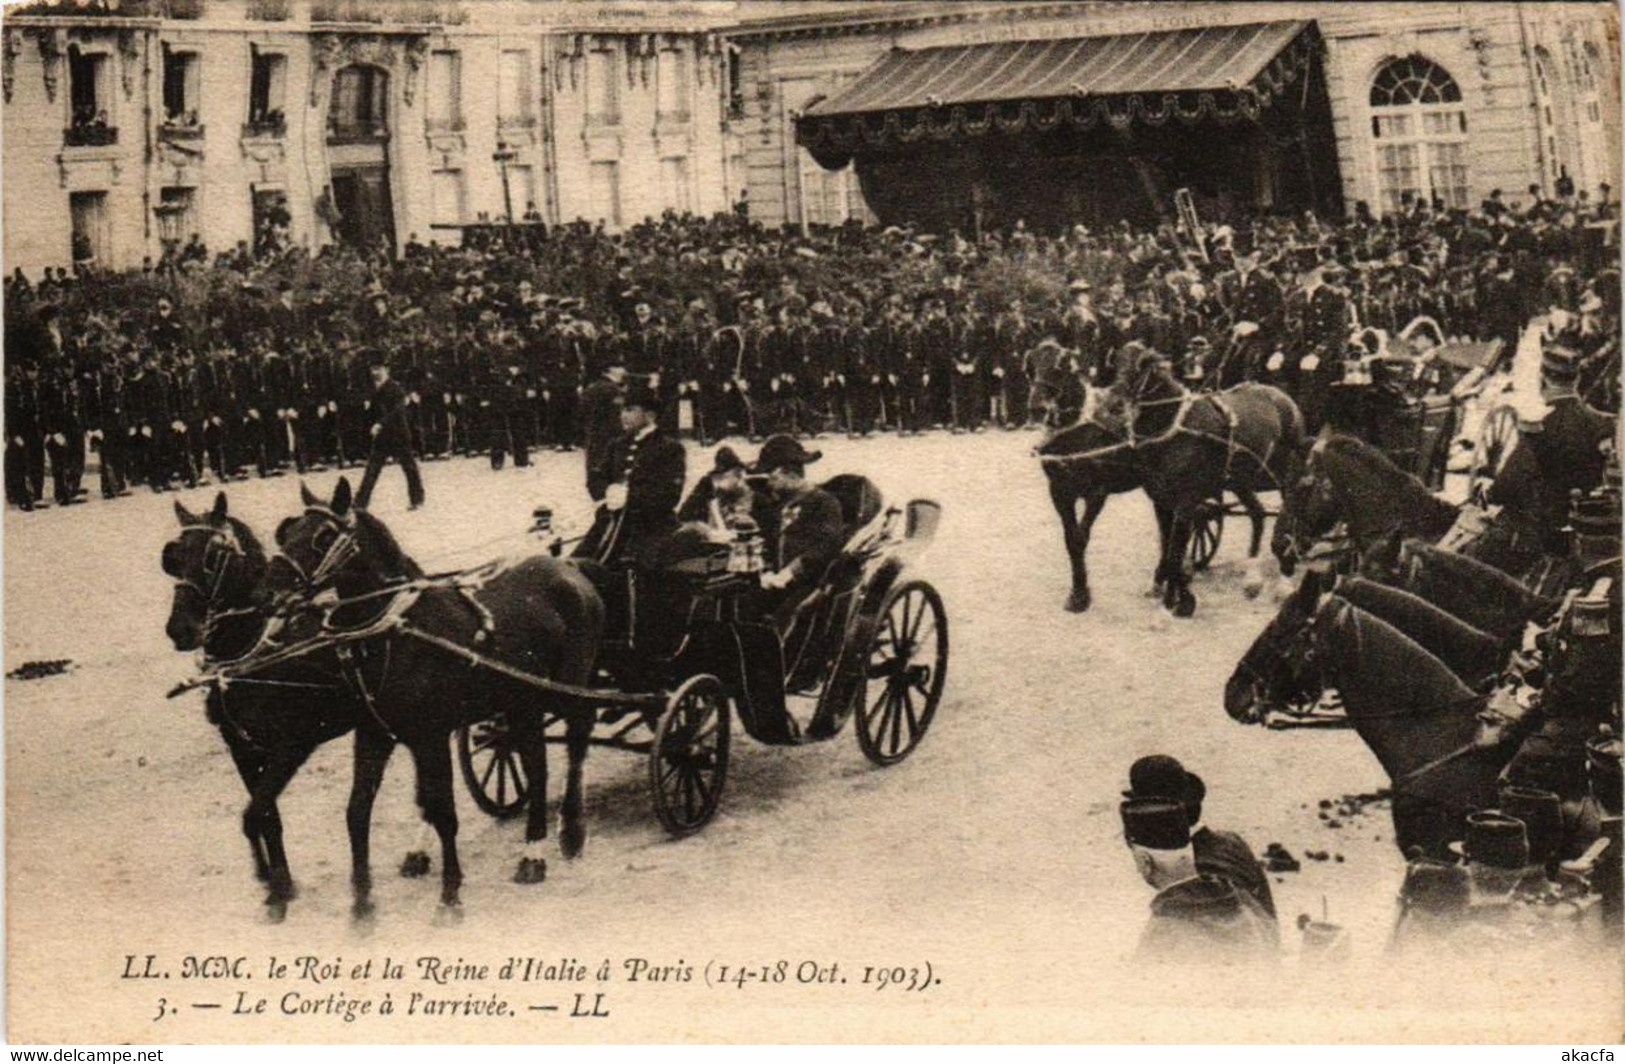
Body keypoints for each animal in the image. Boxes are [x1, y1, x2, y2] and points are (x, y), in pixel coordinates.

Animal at [269, 477, 607, 909]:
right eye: (288, 530)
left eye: (323, 536)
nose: (272, 588)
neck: (398, 630)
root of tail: (569, 568)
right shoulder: (376, 734)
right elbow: (361, 810)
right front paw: (363, 896)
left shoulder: (430, 736)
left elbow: (443, 810)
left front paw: (450, 890)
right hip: (521, 703)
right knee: (536, 763)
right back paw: (533, 850)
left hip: (567, 689)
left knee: (577, 741)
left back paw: (569, 832)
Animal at [1033, 342, 1274, 607]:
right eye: (1032, 365)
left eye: (1059, 367)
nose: (1037, 408)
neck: (1077, 433)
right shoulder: (1059, 491)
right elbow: (1071, 539)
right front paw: (1077, 593)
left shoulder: (1097, 492)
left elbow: (1080, 538)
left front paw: (1081, 595)